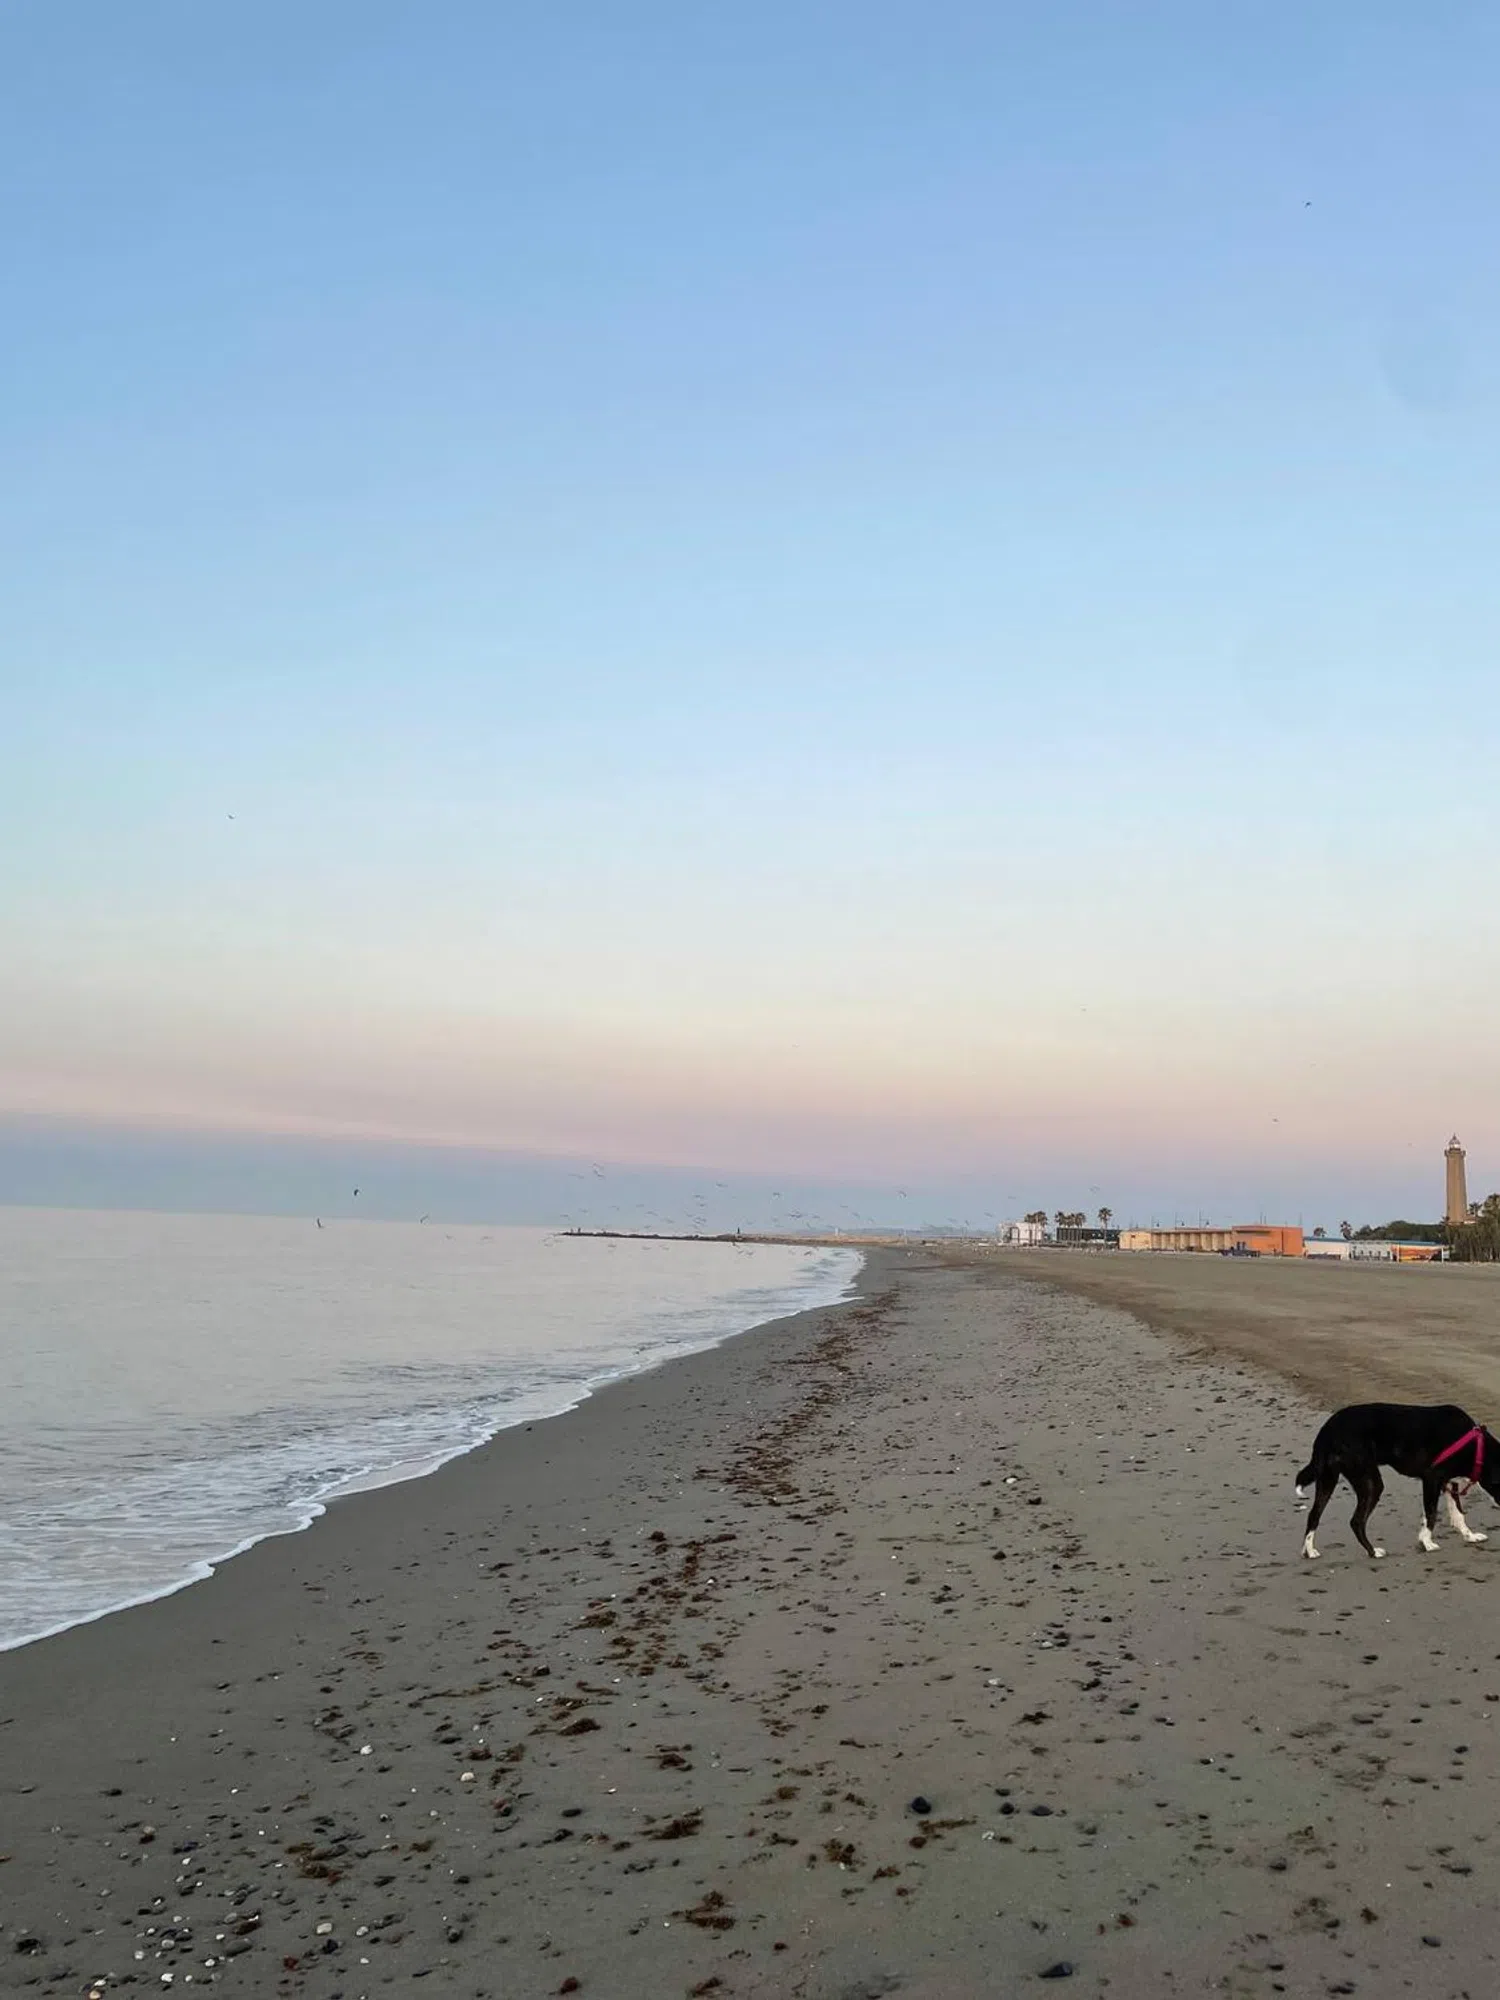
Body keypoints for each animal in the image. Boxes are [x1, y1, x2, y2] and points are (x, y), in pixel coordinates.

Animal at [1295, 1403, 1500, 1559]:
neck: (1478, 1449)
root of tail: (1327, 1430)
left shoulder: (1449, 1483)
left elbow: (1458, 1514)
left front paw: (1470, 1536)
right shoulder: (1431, 1478)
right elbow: (1431, 1514)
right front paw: (1427, 1542)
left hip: (1327, 1478)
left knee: (1314, 1515)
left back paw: (1310, 1550)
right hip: (1371, 1483)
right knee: (1356, 1521)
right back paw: (1373, 1552)